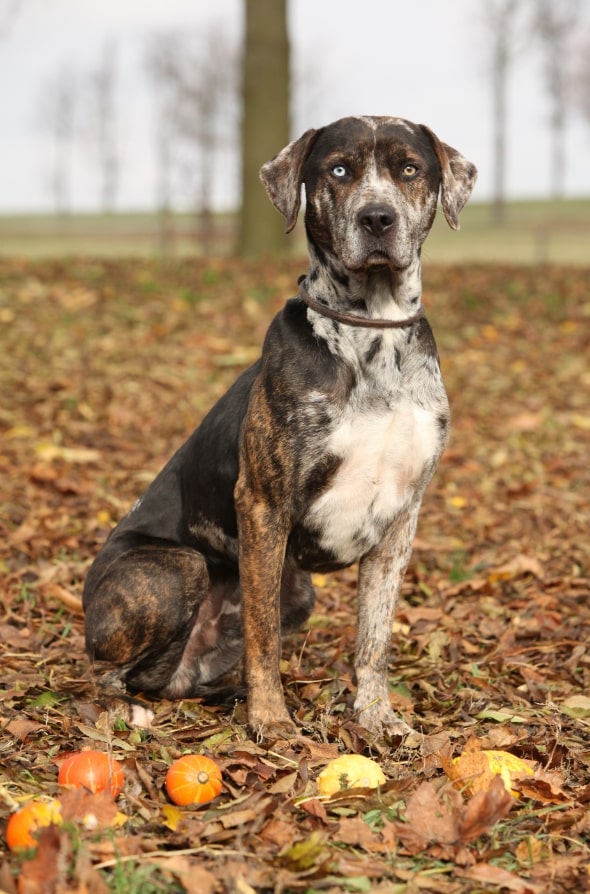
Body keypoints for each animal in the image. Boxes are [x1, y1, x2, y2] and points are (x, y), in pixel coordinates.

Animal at [83, 115, 478, 740]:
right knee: (103, 671)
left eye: (409, 169)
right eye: (338, 169)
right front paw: (270, 718)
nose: (377, 218)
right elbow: (262, 636)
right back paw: (128, 707)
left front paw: (376, 716)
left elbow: (374, 637)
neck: (374, 331)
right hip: (176, 568)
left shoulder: (402, 516)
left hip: (299, 593)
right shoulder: (263, 503)